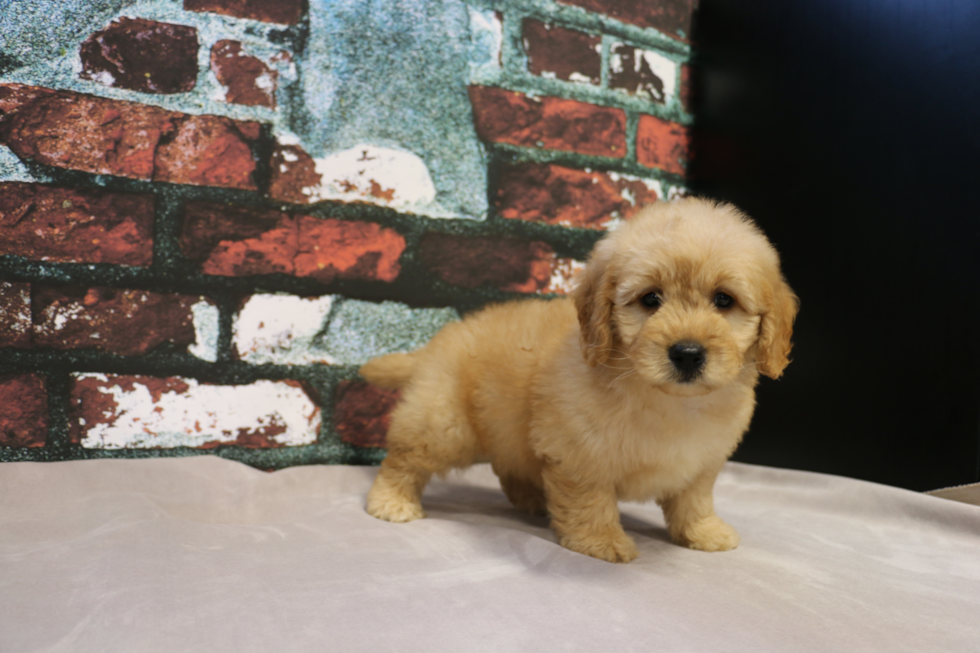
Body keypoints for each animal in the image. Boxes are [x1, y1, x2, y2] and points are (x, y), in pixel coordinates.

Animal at [360, 197, 796, 560]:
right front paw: (600, 541)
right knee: (404, 459)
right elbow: (591, 499)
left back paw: (534, 500)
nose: (687, 353)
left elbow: (694, 499)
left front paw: (704, 532)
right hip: (442, 426)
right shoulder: (579, 452)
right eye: (650, 299)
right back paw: (391, 501)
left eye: (724, 300)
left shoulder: (703, 461)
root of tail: (437, 342)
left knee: (508, 467)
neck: (668, 399)